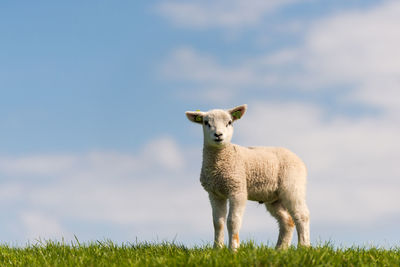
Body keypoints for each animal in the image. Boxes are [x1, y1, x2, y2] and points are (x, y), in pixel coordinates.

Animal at [186, 104, 310, 251]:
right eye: (206, 123)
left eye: (229, 122)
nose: (218, 135)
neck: (220, 162)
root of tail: (297, 158)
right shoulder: (214, 193)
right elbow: (218, 222)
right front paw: (217, 249)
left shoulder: (237, 188)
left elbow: (233, 221)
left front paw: (233, 249)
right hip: (274, 197)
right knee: (287, 221)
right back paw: (280, 250)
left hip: (292, 185)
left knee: (302, 215)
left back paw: (304, 247)